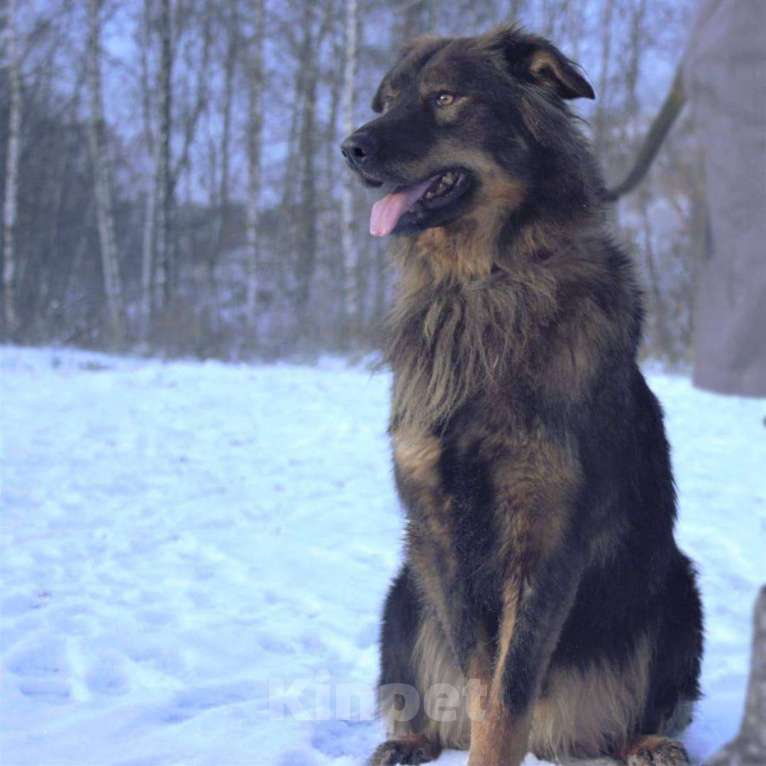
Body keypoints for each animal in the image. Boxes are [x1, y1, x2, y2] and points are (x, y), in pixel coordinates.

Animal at [344, 24, 704, 766]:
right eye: (386, 102)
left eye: (445, 98)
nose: (350, 147)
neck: (486, 281)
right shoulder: (441, 529)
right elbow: (484, 685)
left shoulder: (547, 532)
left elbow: (509, 693)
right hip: (402, 593)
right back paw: (407, 740)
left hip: (679, 593)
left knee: (655, 705)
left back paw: (651, 742)